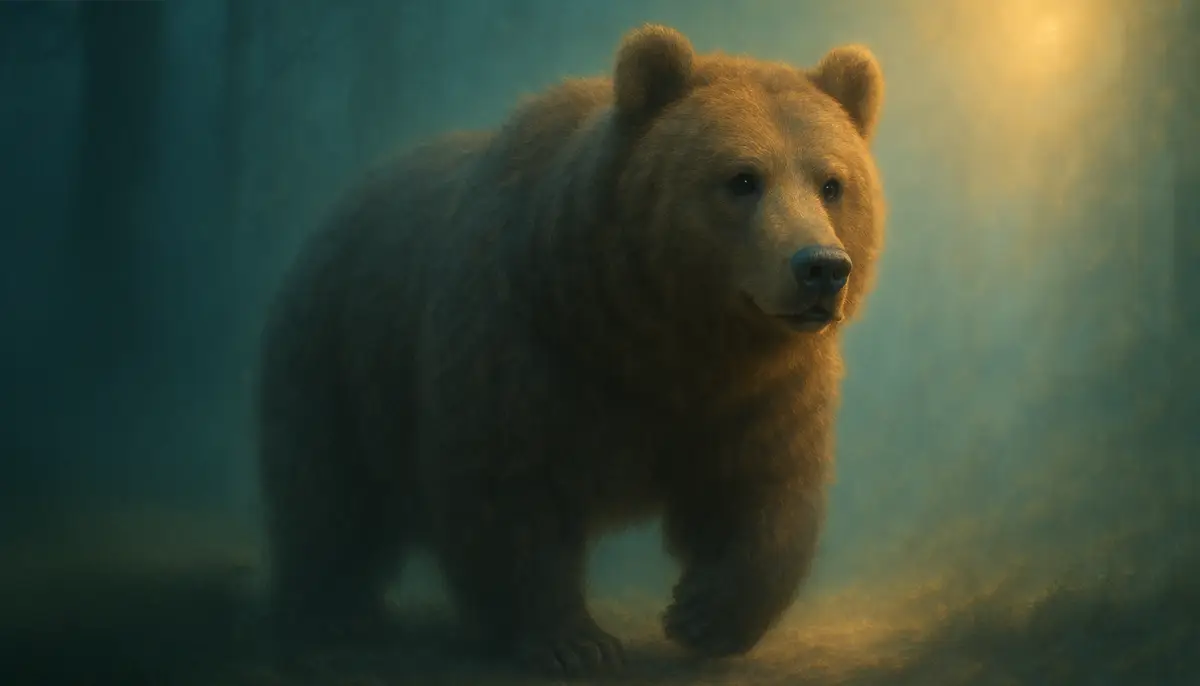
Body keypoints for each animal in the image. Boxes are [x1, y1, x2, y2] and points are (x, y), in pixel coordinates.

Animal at [256, 24, 885, 677]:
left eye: (832, 184)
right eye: (743, 178)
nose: (821, 268)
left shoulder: (759, 390)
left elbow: (764, 488)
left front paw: (705, 613)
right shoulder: (526, 342)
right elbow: (508, 487)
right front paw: (573, 641)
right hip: (336, 351)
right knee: (325, 488)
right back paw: (331, 607)